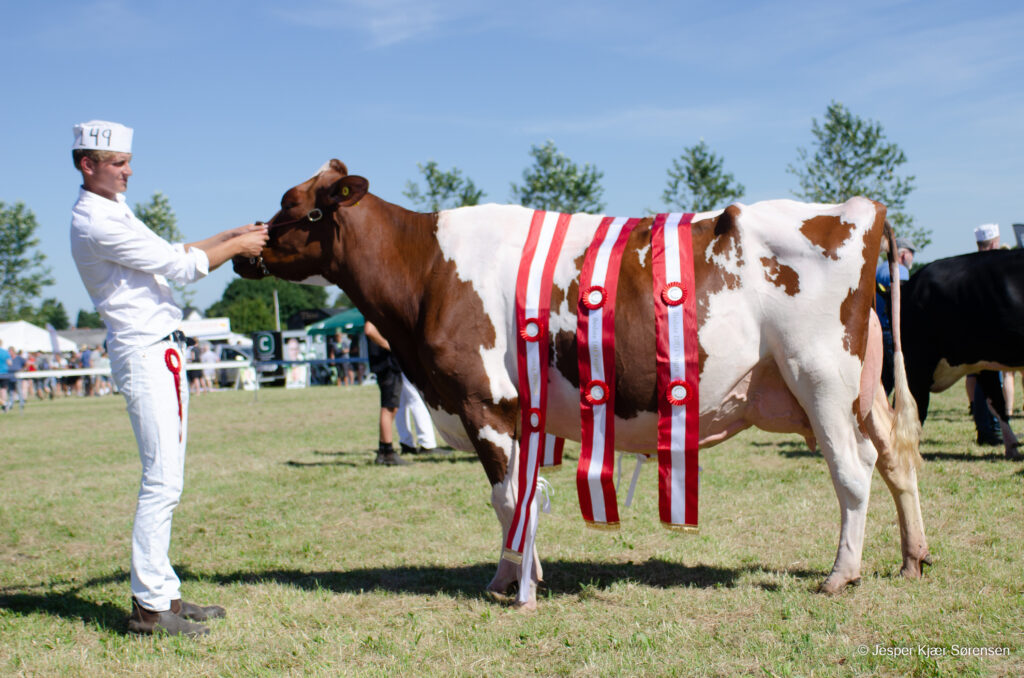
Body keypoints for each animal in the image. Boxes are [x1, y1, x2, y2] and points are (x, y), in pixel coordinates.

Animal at [235, 160, 933, 610]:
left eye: (295, 207)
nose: (244, 251)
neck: (427, 271)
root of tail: (858, 207)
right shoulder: (516, 412)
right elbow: (520, 498)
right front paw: (518, 571)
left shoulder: (482, 402)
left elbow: (505, 499)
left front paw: (513, 582)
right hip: (861, 388)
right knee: (896, 459)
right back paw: (913, 558)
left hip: (819, 377)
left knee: (853, 471)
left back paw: (842, 575)